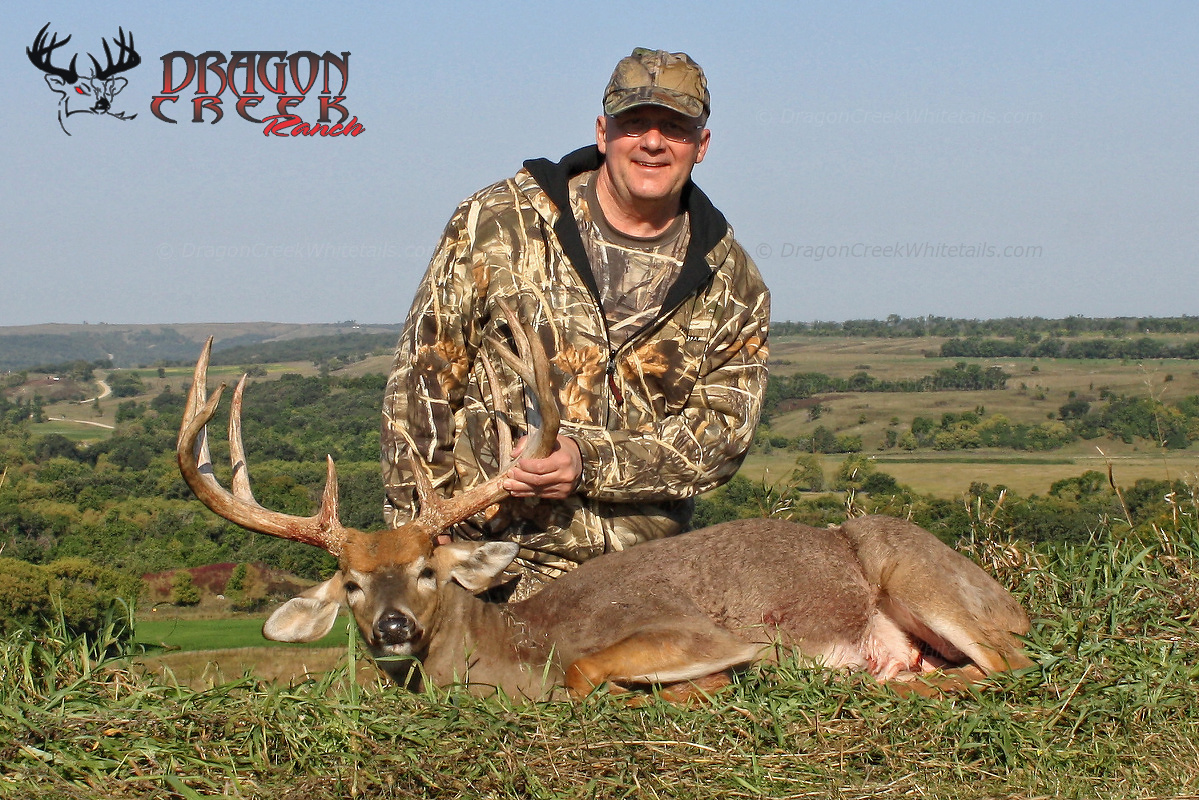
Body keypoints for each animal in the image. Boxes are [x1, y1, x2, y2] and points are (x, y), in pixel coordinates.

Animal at [177, 307, 1031, 702]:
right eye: (351, 583)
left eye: (427, 570)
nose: (392, 628)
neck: (513, 648)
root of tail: (1011, 602)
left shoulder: (686, 630)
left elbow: (588, 671)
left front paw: (708, 689)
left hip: (913, 571)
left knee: (1008, 665)